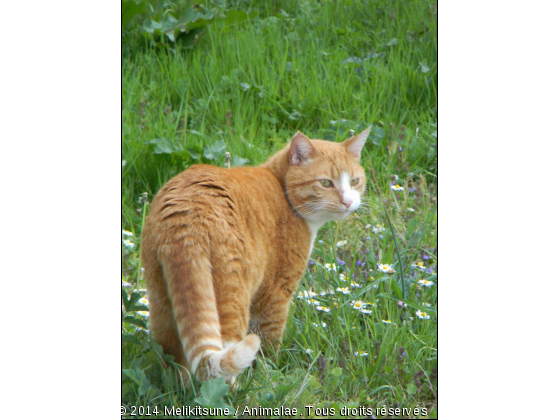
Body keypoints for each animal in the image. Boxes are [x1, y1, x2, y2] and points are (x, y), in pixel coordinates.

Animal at [140, 126, 370, 382]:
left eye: (354, 181)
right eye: (326, 183)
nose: (348, 202)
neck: (282, 189)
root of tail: (189, 213)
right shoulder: (277, 292)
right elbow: (269, 342)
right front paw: (270, 374)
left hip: (162, 300)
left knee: (174, 359)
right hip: (232, 299)